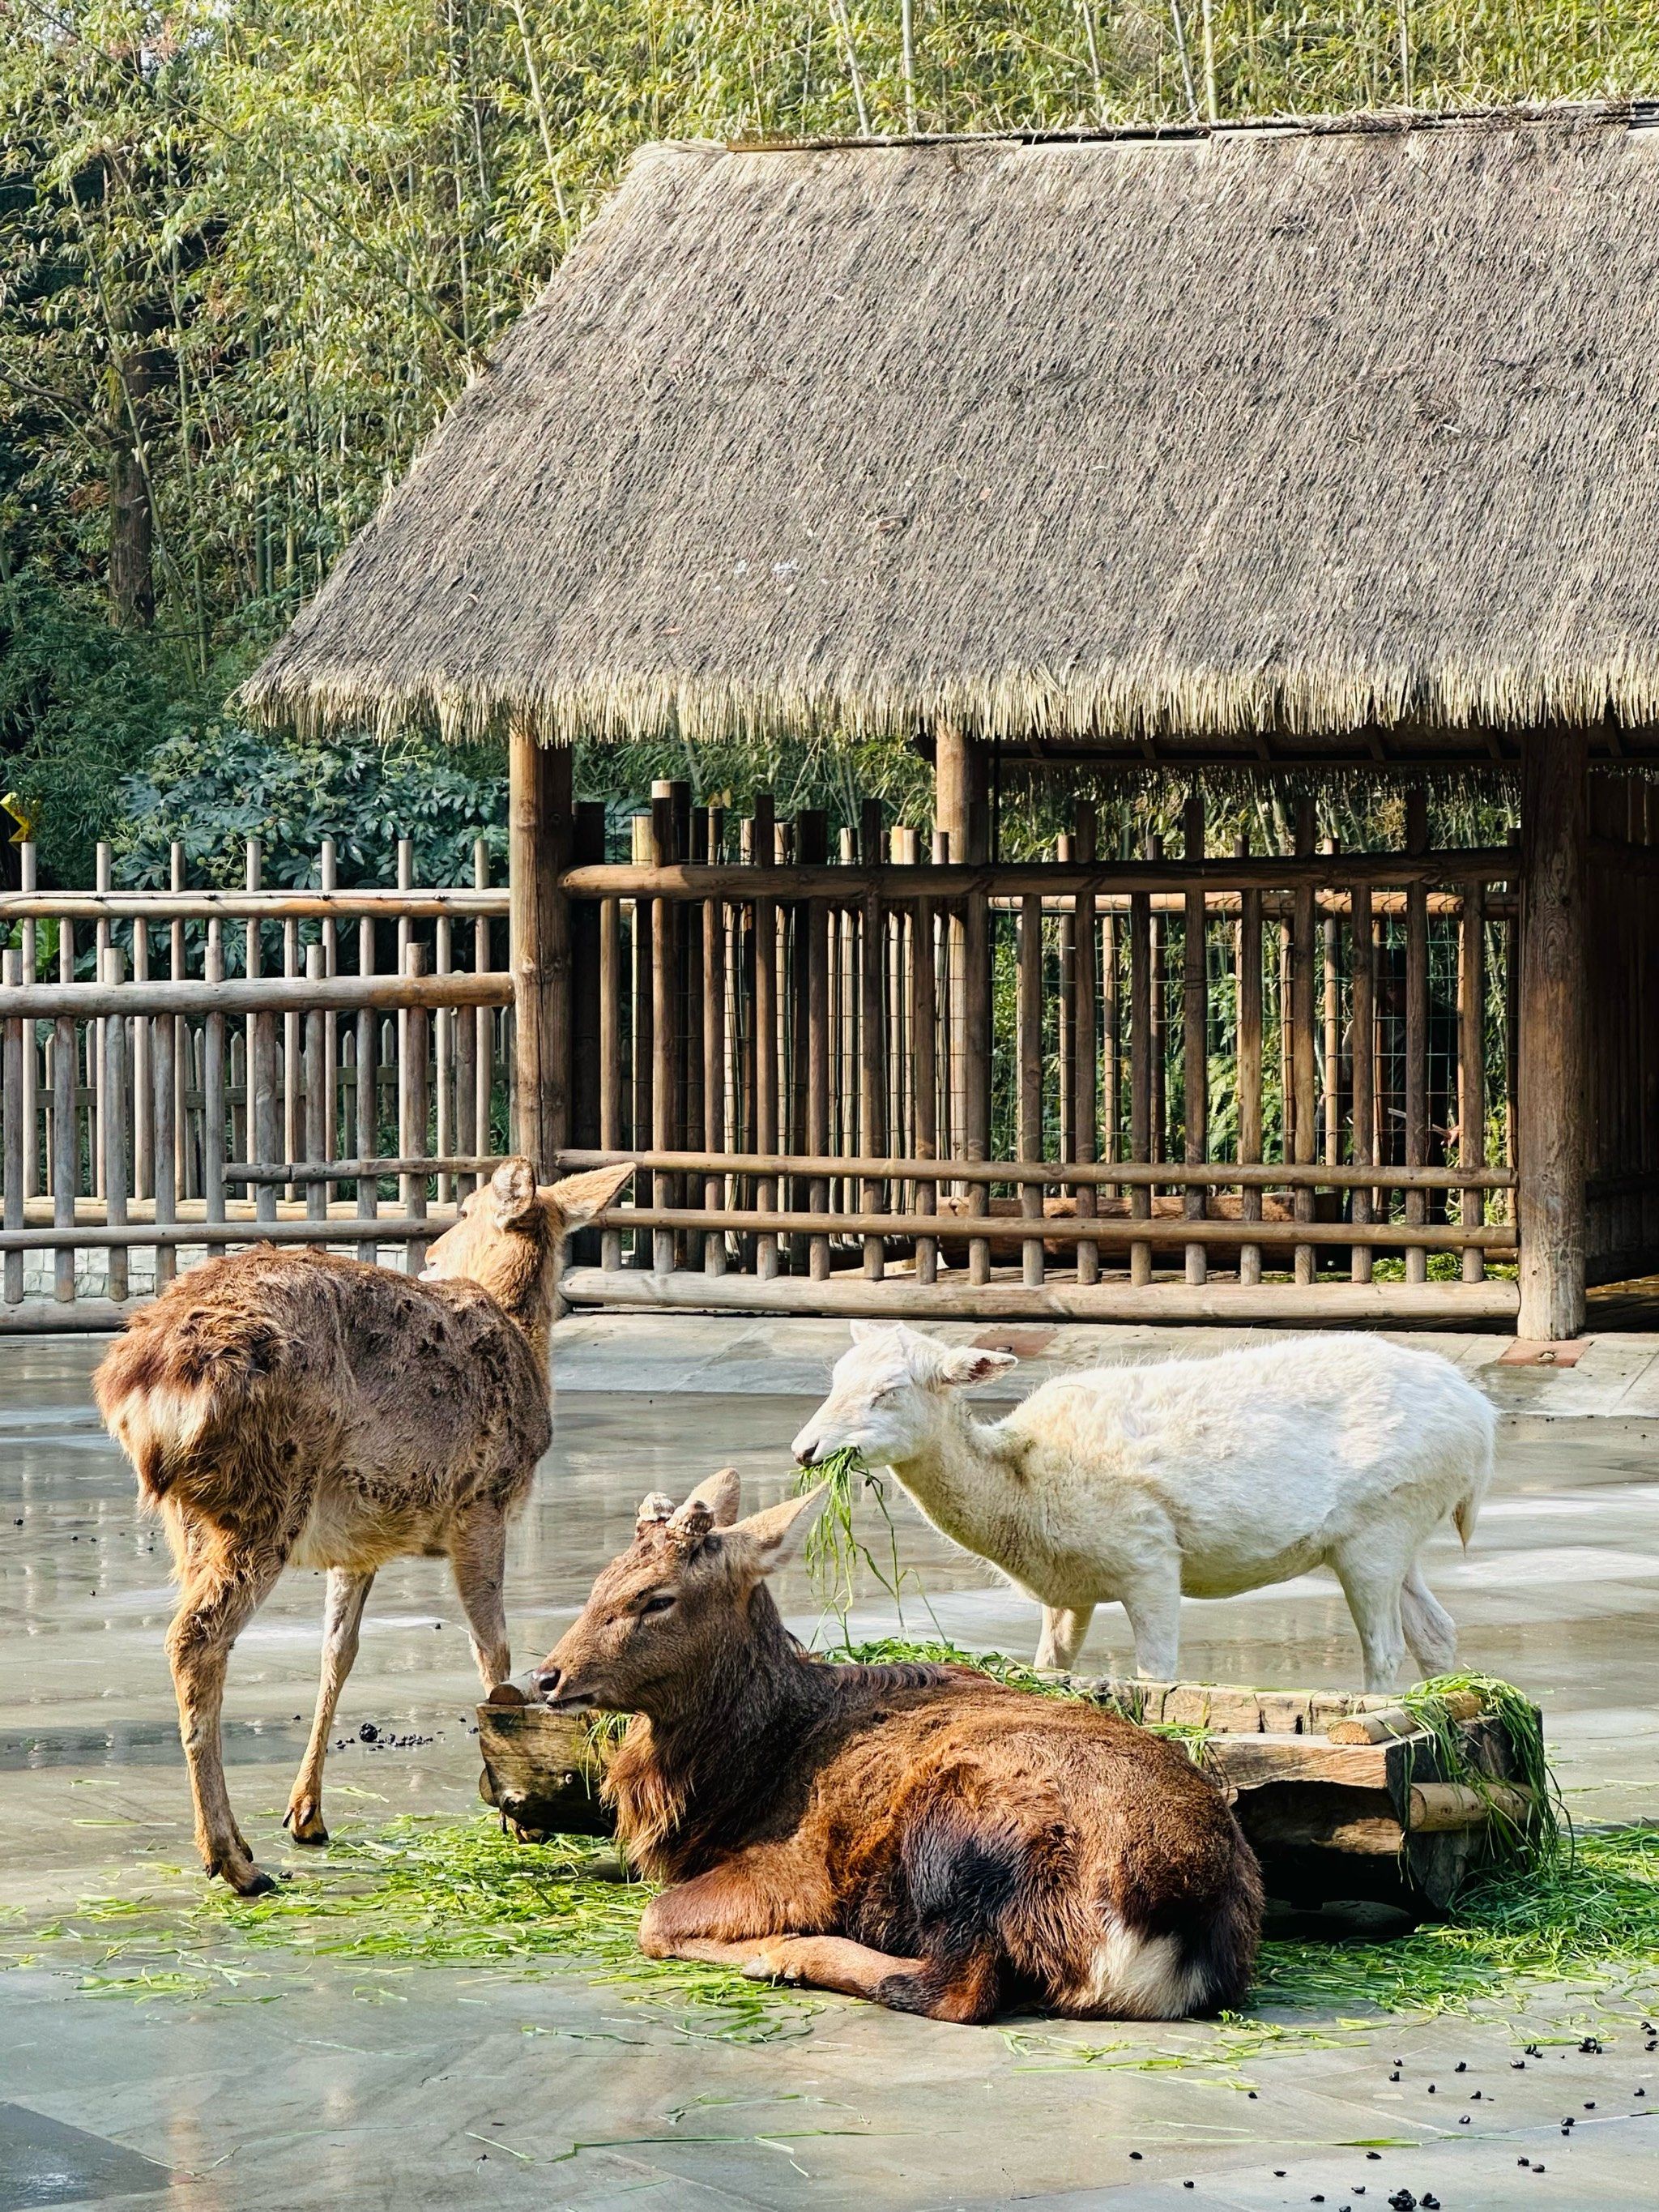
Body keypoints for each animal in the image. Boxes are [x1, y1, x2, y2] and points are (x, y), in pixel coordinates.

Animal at [94, 1156, 632, 1896]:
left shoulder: (363, 1542)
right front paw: (519, 1815)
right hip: (265, 1494)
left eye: (464, 1210)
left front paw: (306, 1814)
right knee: (195, 1641)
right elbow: (493, 1651)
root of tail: (138, 1380)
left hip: (195, 1516)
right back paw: (233, 1861)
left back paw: (242, 1845)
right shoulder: (483, 1501)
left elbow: (337, 1655)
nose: (430, 1255)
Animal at [532, 1471, 1262, 2025]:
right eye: (600, 1580)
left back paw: (790, 1957)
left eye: (655, 1598)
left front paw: (770, 1947)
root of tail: (1178, 1924)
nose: (546, 1677)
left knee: (960, 1989)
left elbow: (655, 1921)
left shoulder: (794, 1866)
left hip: (960, 1828)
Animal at [791, 1325, 1495, 1692]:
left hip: (1380, 1524)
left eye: (888, 1391)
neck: (1023, 1491)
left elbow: (1157, 1676)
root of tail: (1480, 1416)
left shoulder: (1149, 1557)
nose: (805, 1450)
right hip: (1400, 1528)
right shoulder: (1066, 1593)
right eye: (835, 1378)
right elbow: (1050, 1667)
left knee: (1385, 1647)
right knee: (1436, 1631)